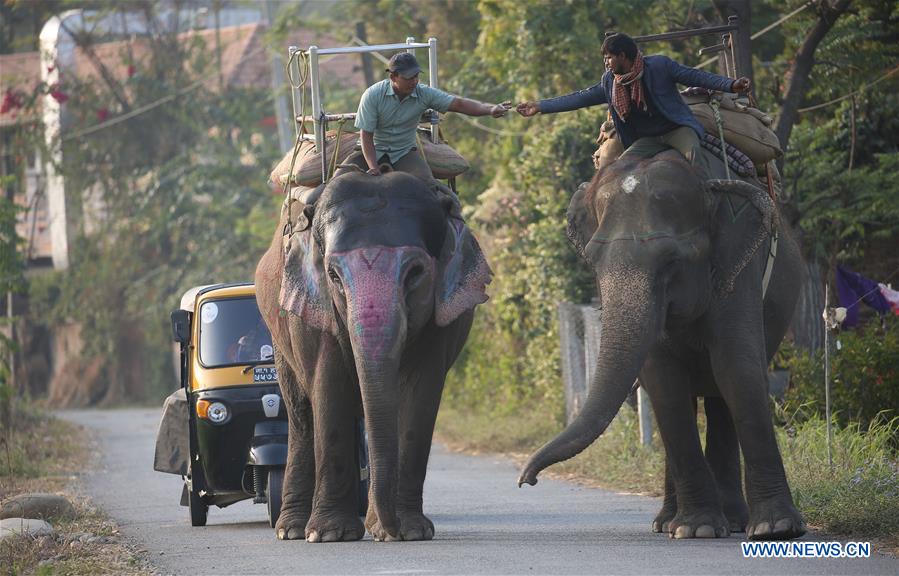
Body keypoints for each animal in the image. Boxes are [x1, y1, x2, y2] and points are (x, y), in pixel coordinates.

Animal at [253, 173, 492, 544]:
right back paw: (291, 530)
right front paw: (329, 534)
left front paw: (410, 531)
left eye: (415, 272)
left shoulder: (439, 321)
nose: (388, 531)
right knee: (300, 413)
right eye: (333, 275)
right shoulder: (316, 310)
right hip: (280, 333)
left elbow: (419, 394)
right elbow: (329, 385)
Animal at [520, 147, 808, 540]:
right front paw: (697, 528)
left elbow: (737, 368)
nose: (527, 480)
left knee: (719, 395)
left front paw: (775, 528)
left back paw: (733, 521)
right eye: (592, 261)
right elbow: (663, 381)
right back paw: (669, 522)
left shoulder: (739, 266)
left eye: (672, 260)